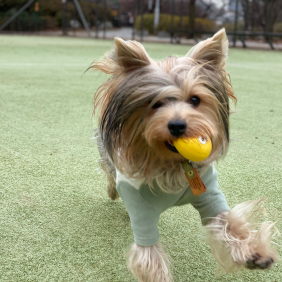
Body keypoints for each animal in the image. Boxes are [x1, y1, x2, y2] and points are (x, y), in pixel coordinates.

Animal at [90, 29, 278, 280]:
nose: (177, 125)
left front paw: (253, 250)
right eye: (155, 104)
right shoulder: (141, 209)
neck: (173, 163)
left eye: (195, 100)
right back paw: (112, 191)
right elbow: (149, 257)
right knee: (110, 173)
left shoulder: (209, 193)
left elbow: (229, 222)